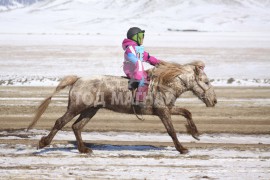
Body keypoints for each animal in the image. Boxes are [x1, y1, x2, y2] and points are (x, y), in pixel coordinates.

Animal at [27, 60, 217, 153]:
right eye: (206, 82)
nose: (214, 101)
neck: (165, 84)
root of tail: (78, 79)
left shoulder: (168, 108)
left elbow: (187, 112)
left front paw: (194, 133)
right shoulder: (163, 111)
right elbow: (171, 131)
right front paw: (182, 148)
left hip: (91, 110)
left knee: (76, 126)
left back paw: (84, 149)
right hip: (76, 107)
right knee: (60, 122)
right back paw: (43, 143)